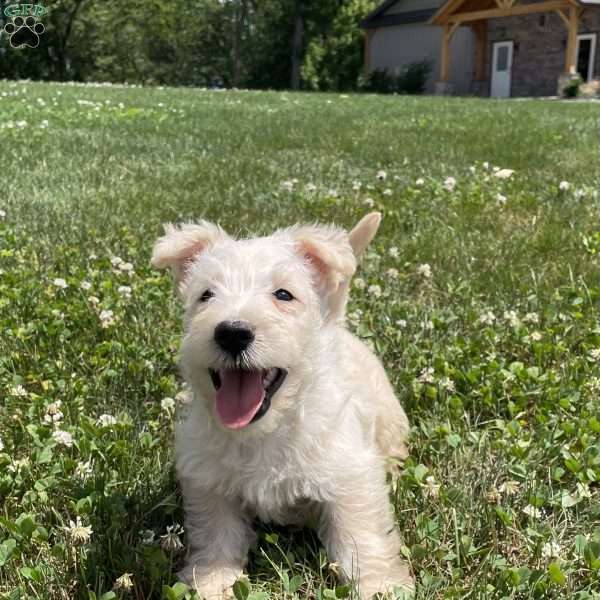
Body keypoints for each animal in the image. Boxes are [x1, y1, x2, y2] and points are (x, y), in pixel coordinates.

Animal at [150, 213, 412, 596]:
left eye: (284, 295)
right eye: (206, 295)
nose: (232, 332)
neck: (266, 429)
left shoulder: (350, 473)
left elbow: (360, 533)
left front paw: (379, 585)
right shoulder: (209, 482)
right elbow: (216, 536)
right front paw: (211, 583)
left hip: (388, 417)